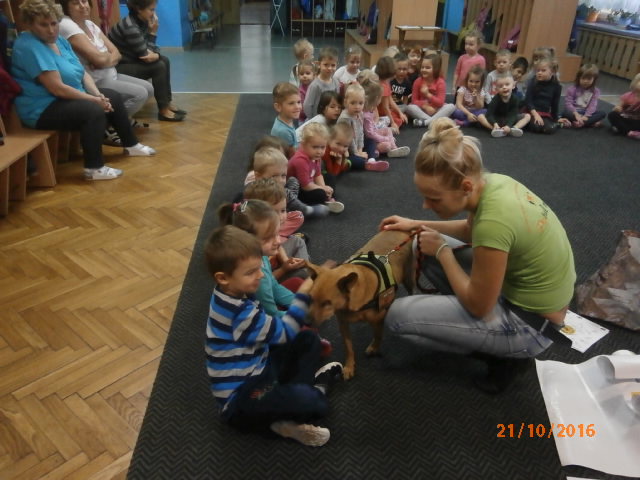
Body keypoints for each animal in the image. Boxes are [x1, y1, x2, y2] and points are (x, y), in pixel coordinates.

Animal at [306, 229, 415, 379]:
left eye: (327, 303)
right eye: (310, 298)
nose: (306, 322)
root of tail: (400, 229)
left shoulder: (377, 320)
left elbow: (378, 335)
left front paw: (374, 348)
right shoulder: (343, 324)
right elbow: (349, 348)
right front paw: (349, 367)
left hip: (409, 278)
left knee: (411, 290)